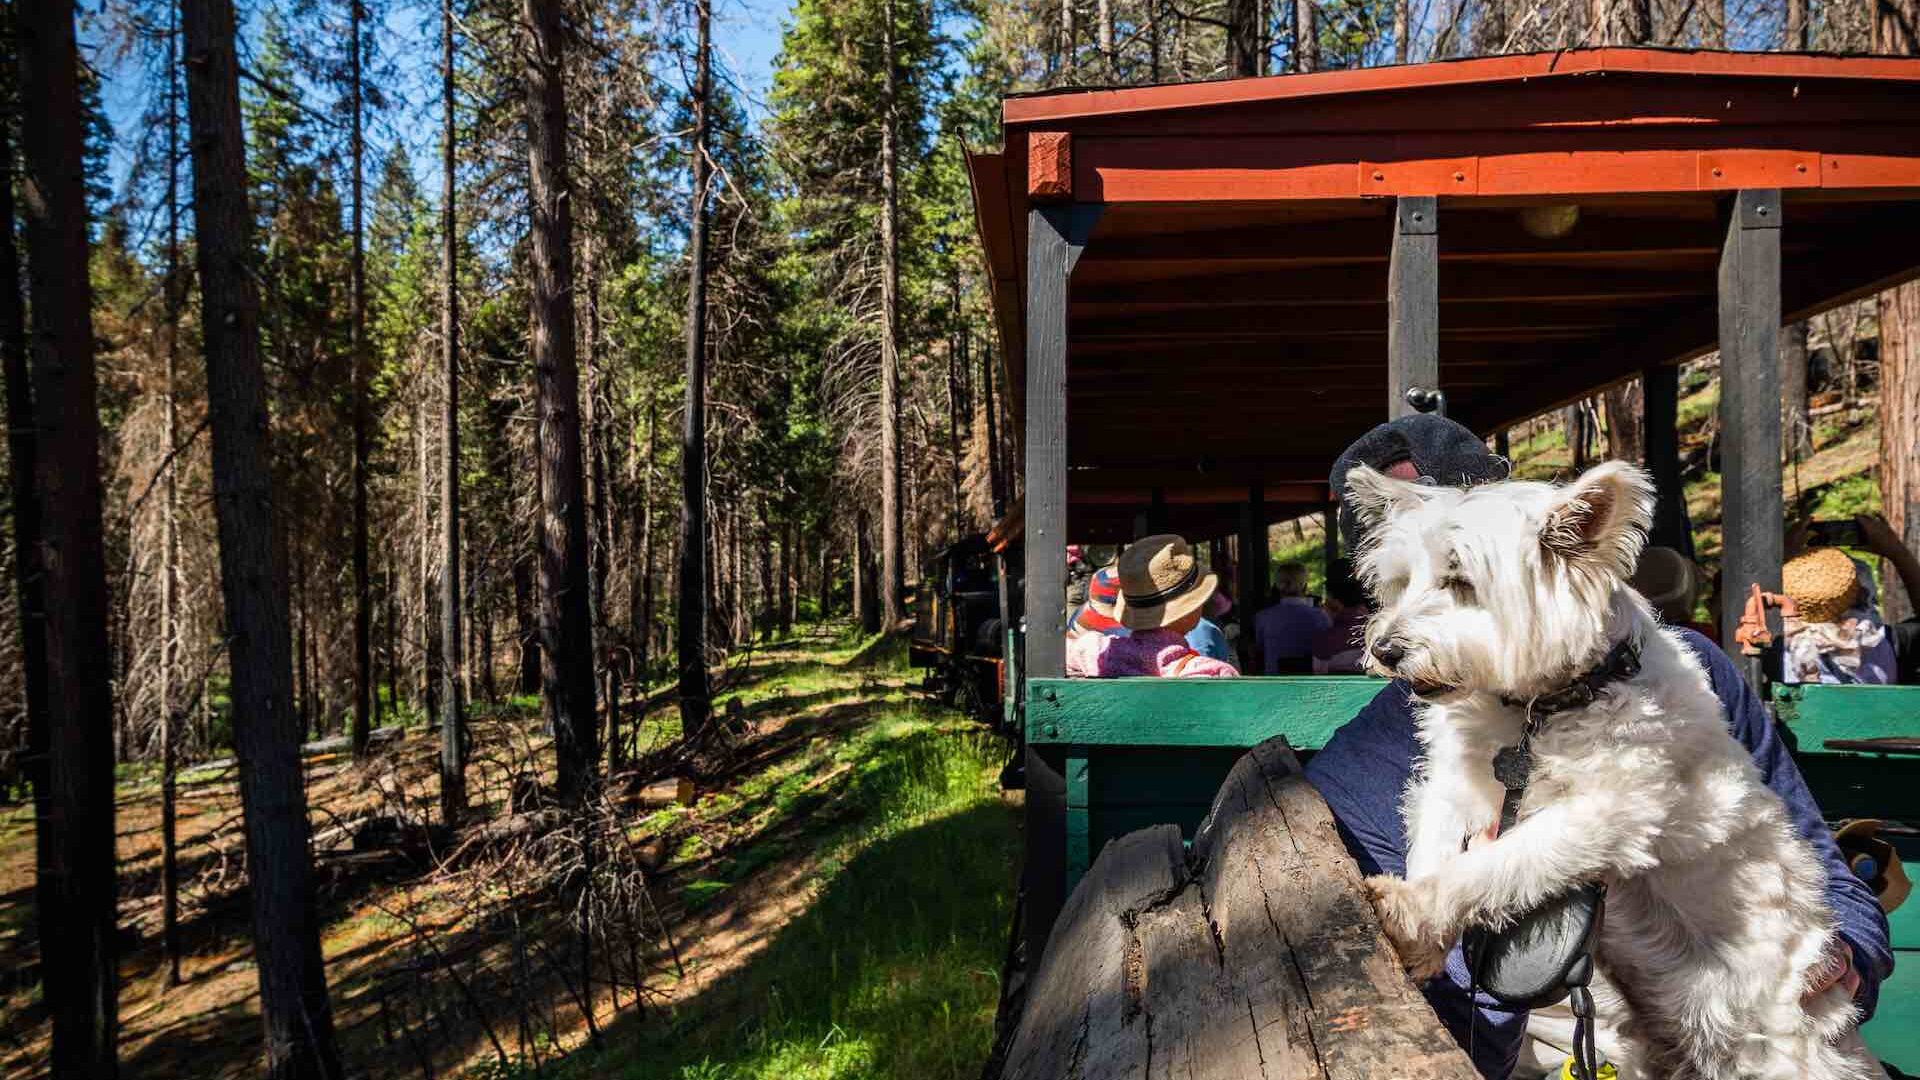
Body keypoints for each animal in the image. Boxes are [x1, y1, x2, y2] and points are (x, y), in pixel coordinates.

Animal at [1351, 461, 1873, 1076]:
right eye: (1401, 582)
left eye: (1460, 582)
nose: (1384, 650)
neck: (1539, 709)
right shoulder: (1451, 784)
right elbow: (1431, 848)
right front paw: (1423, 932)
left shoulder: (1610, 811)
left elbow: (1500, 863)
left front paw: (1413, 910)